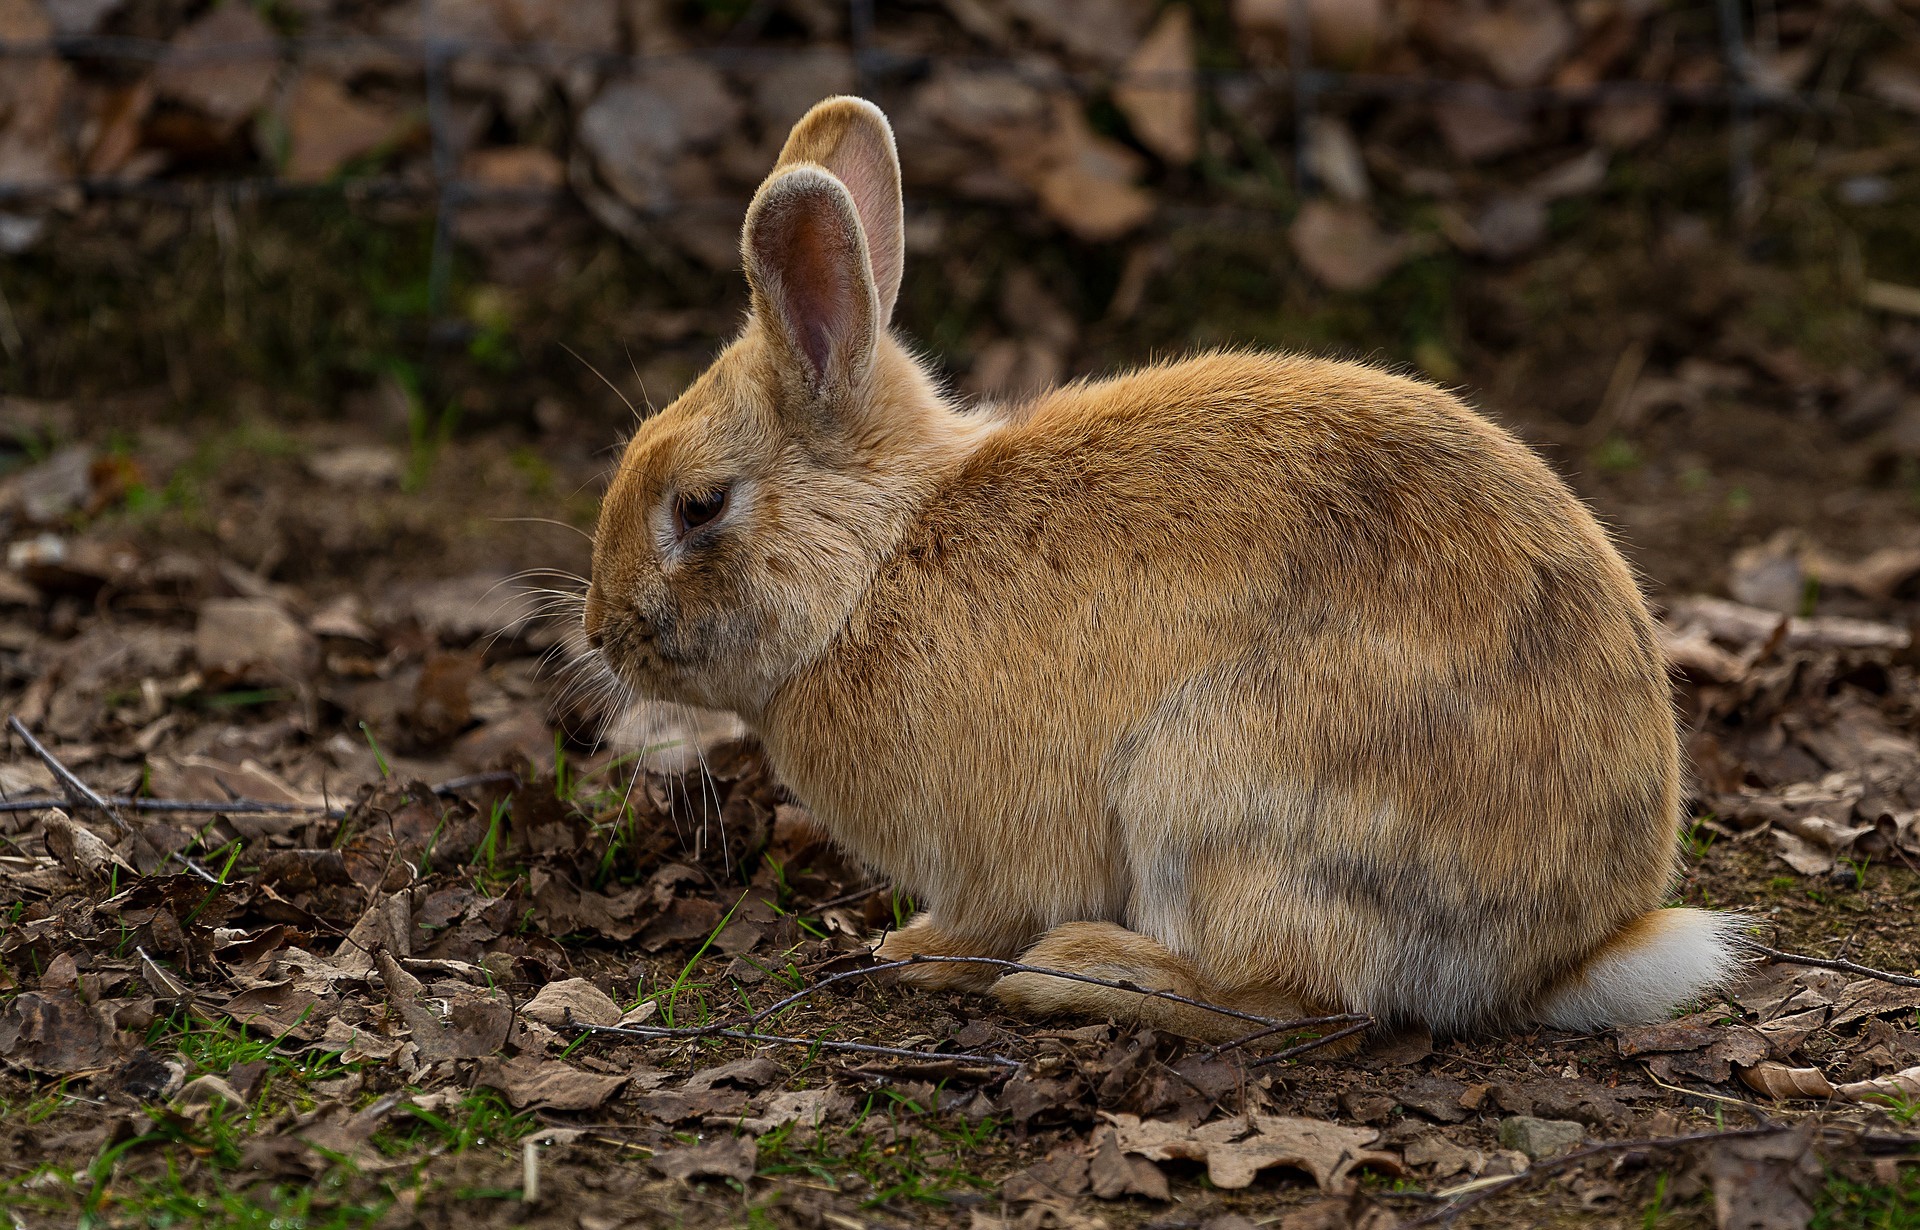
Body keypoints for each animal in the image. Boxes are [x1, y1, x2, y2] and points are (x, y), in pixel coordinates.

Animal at [583, 91, 1743, 1043]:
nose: (602, 634)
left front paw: (911, 953)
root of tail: (1568, 952)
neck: (875, 562)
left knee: (1286, 1003)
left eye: (698, 506)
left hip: (1209, 788)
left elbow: (985, 915)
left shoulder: (996, 851)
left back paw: (1074, 972)